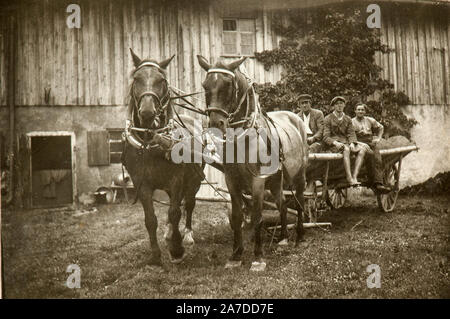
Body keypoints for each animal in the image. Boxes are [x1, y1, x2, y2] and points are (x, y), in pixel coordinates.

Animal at [124, 49, 205, 264]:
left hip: (194, 179)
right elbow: (150, 219)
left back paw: (187, 234)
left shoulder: (177, 179)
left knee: (189, 204)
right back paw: (169, 233)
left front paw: (177, 250)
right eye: (136, 78)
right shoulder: (141, 183)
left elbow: (175, 212)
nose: (147, 112)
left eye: (162, 80)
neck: (153, 142)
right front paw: (155, 255)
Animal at [198, 55, 310, 272]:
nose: (215, 124)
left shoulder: (257, 181)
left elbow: (258, 216)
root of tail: (296, 118)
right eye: (205, 85)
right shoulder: (232, 181)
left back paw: (300, 236)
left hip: (299, 176)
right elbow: (237, 217)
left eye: (228, 85)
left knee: (300, 202)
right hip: (276, 180)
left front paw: (258, 257)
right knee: (282, 204)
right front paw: (235, 256)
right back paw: (283, 238)